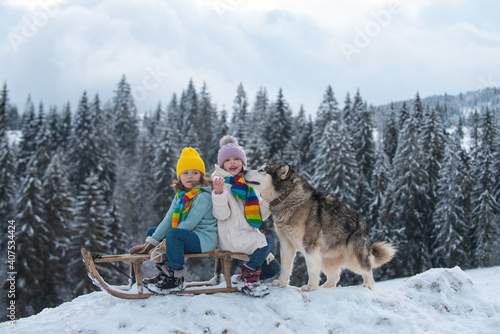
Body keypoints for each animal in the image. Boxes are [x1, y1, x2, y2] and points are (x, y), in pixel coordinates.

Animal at [244, 164, 396, 290]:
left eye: (262, 170)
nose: (244, 170)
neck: (286, 197)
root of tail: (364, 225)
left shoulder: (309, 246)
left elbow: (311, 269)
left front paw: (310, 287)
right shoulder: (286, 244)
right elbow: (286, 267)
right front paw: (281, 282)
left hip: (353, 258)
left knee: (368, 272)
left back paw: (367, 286)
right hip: (325, 260)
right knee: (335, 277)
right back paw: (325, 287)